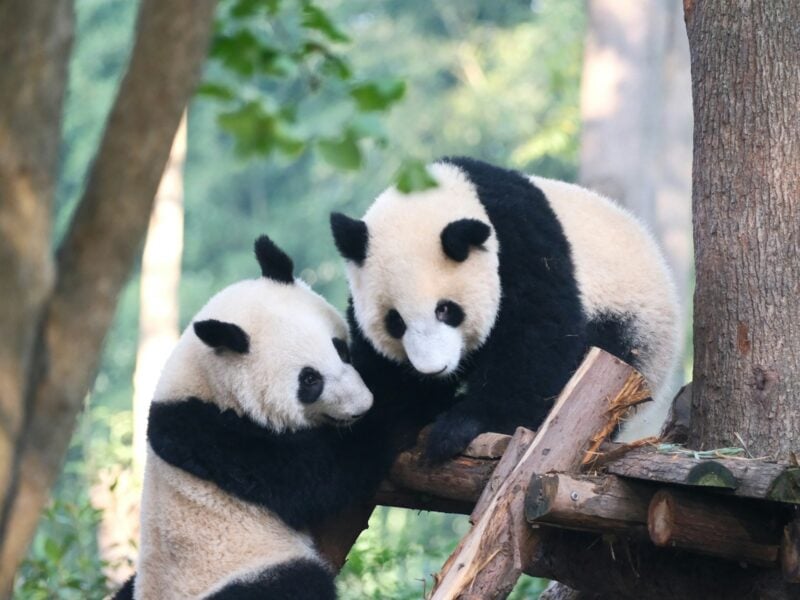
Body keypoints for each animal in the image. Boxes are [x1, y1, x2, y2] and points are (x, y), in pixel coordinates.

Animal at [119, 235, 407, 600]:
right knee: (297, 582)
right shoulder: (214, 439)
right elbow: (329, 470)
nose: (362, 405)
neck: (206, 382)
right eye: (309, 380)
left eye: (341, 349)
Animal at [330, 157, 681, 463]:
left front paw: (460, 426)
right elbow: (380, 371)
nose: (432, 370)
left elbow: (537, 340)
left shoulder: (522, 245)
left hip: (629, 324)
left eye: (446, 310)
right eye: (395, 322)